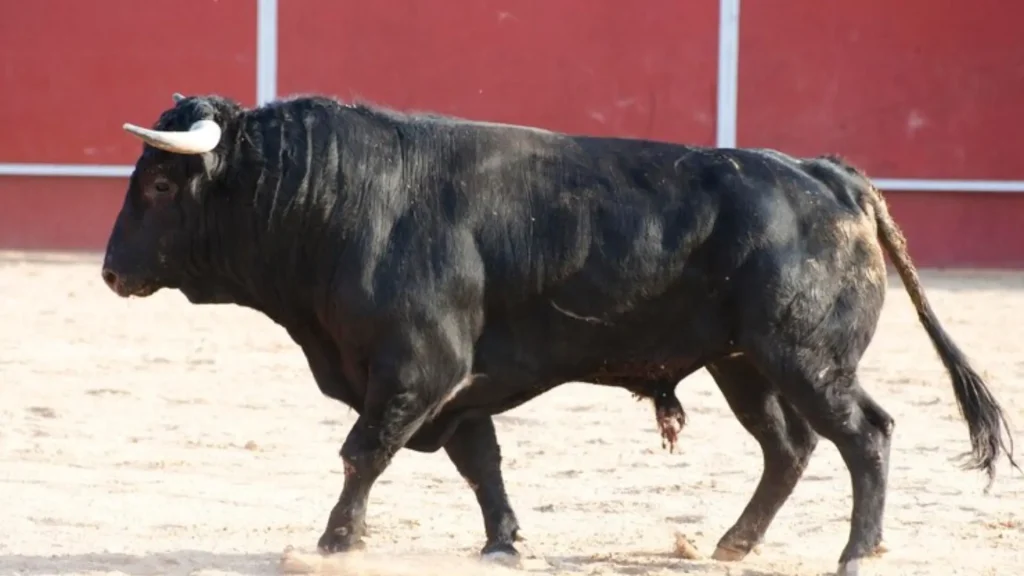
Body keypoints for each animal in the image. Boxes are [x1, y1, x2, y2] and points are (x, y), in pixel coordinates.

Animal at [101, 92, 1017, 576]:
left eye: (157, 186)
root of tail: (827, 174)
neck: (331, 199)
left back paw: (858, 552)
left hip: (808, 358)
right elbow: (481, 463)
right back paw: (731, 544)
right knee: (789, 449)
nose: (109, 271)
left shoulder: (418, 365)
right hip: (746, 365)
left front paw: (333, 542)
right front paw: (503, 543)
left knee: (866, 434)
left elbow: (365, 450)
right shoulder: (457, 384)